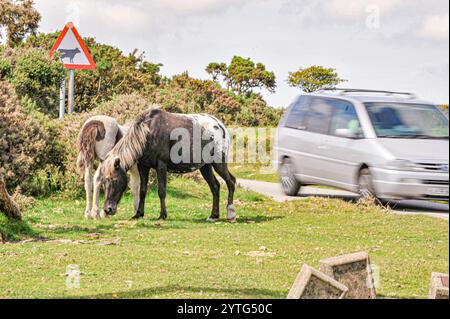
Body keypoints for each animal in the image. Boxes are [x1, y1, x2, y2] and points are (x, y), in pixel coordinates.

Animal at [100, 109, 237, 224]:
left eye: (115, 180)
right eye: (104, 182)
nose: (108, 209)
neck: (148, 133)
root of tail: (221, 126)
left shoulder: (161, 165)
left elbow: (161, 191)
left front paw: (162, 215)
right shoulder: (143, 166)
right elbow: (142, 190)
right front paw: (138, 214)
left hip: (219, 163)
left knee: (230, 182)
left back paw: (230, 214)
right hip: (205, 167)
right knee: (215, 187)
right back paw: (214, 216)